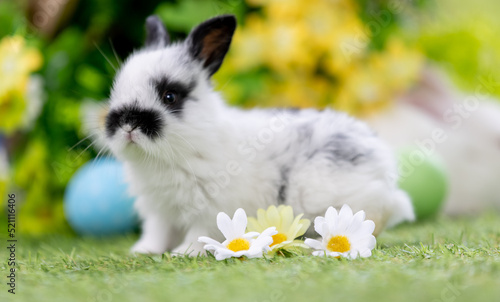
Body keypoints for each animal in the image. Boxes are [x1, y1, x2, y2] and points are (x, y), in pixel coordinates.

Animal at [100, 14, 414, 255]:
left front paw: (184, 253)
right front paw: (143, 251)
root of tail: (383, 164)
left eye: (170, 96)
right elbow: (156, 233)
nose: (127, 123)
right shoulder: (159, 210)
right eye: (116, 89)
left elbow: (198, 233)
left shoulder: (210, 208)